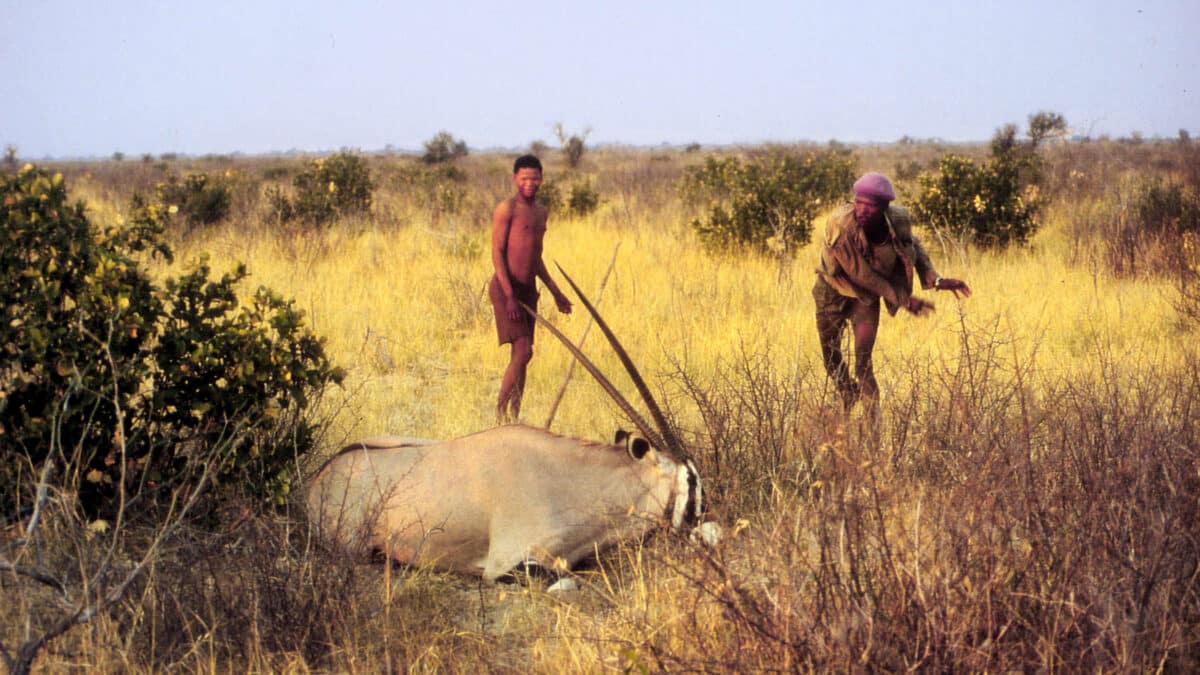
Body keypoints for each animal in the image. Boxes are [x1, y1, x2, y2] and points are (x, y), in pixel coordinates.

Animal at [309, 265, 720, 586]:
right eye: (691, 483)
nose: (714, 526)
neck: (580, 485)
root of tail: (319, 476)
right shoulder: (513, 564)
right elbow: (567, 580)